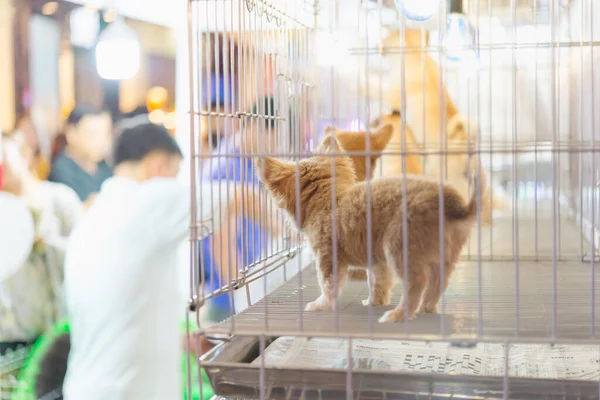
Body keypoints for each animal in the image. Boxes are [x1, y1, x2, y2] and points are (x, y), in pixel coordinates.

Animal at [255, 133, 486, 324]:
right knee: (438, 283)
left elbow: (328, 285)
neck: (330, 199)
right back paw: (426, 308)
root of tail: (452, 204)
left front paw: (321, 305)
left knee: (417, 283)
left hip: (398, 248)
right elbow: (377, 282)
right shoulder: (377, 263)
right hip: (443, 257)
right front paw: (375, 301)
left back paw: (398, 315)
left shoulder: (328, 257)